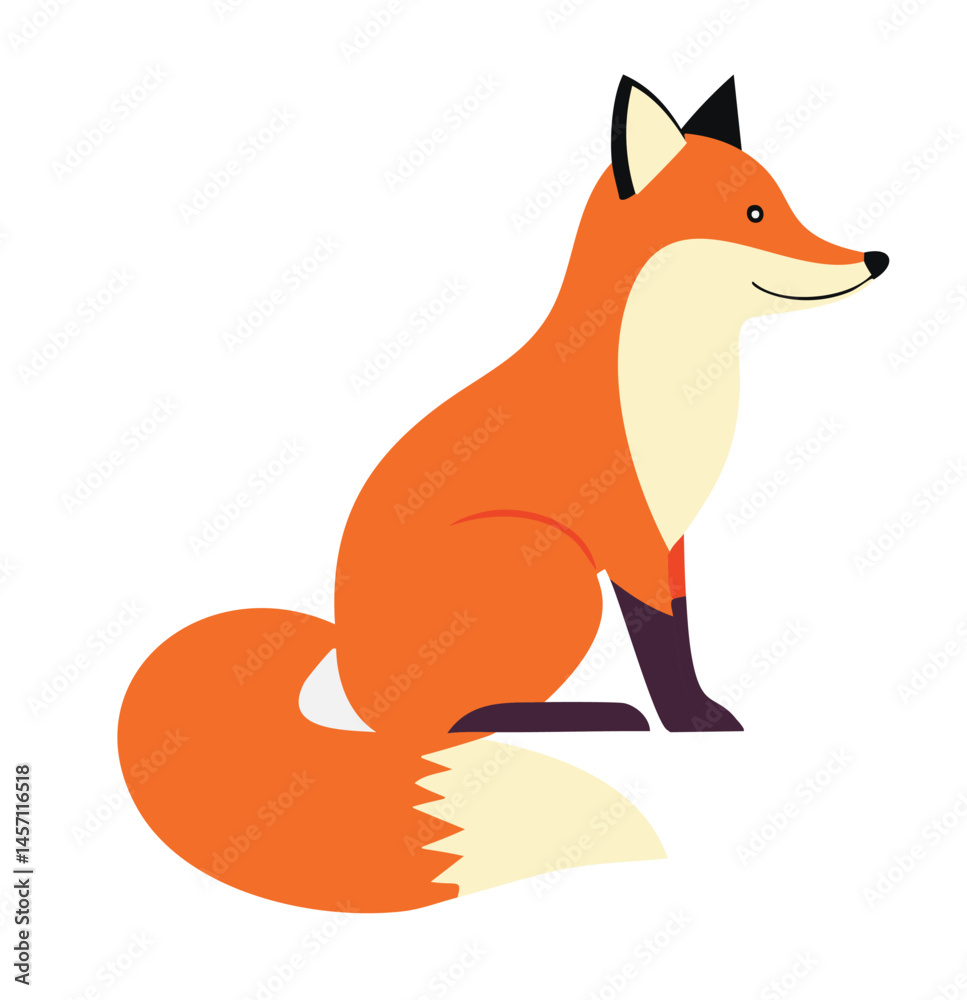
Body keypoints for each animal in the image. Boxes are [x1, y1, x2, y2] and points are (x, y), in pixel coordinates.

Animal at [118, 76, 888, 912]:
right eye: (751, 214)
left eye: (781, 202)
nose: (875, 257)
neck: (666, 386)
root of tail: (345, 671)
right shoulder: (623, 533)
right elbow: (661, 643)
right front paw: (687, 721)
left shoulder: (669, 538)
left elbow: (681, 627)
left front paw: (699, 710)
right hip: (549, 560)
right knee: (450, 722)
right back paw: (592, 716)